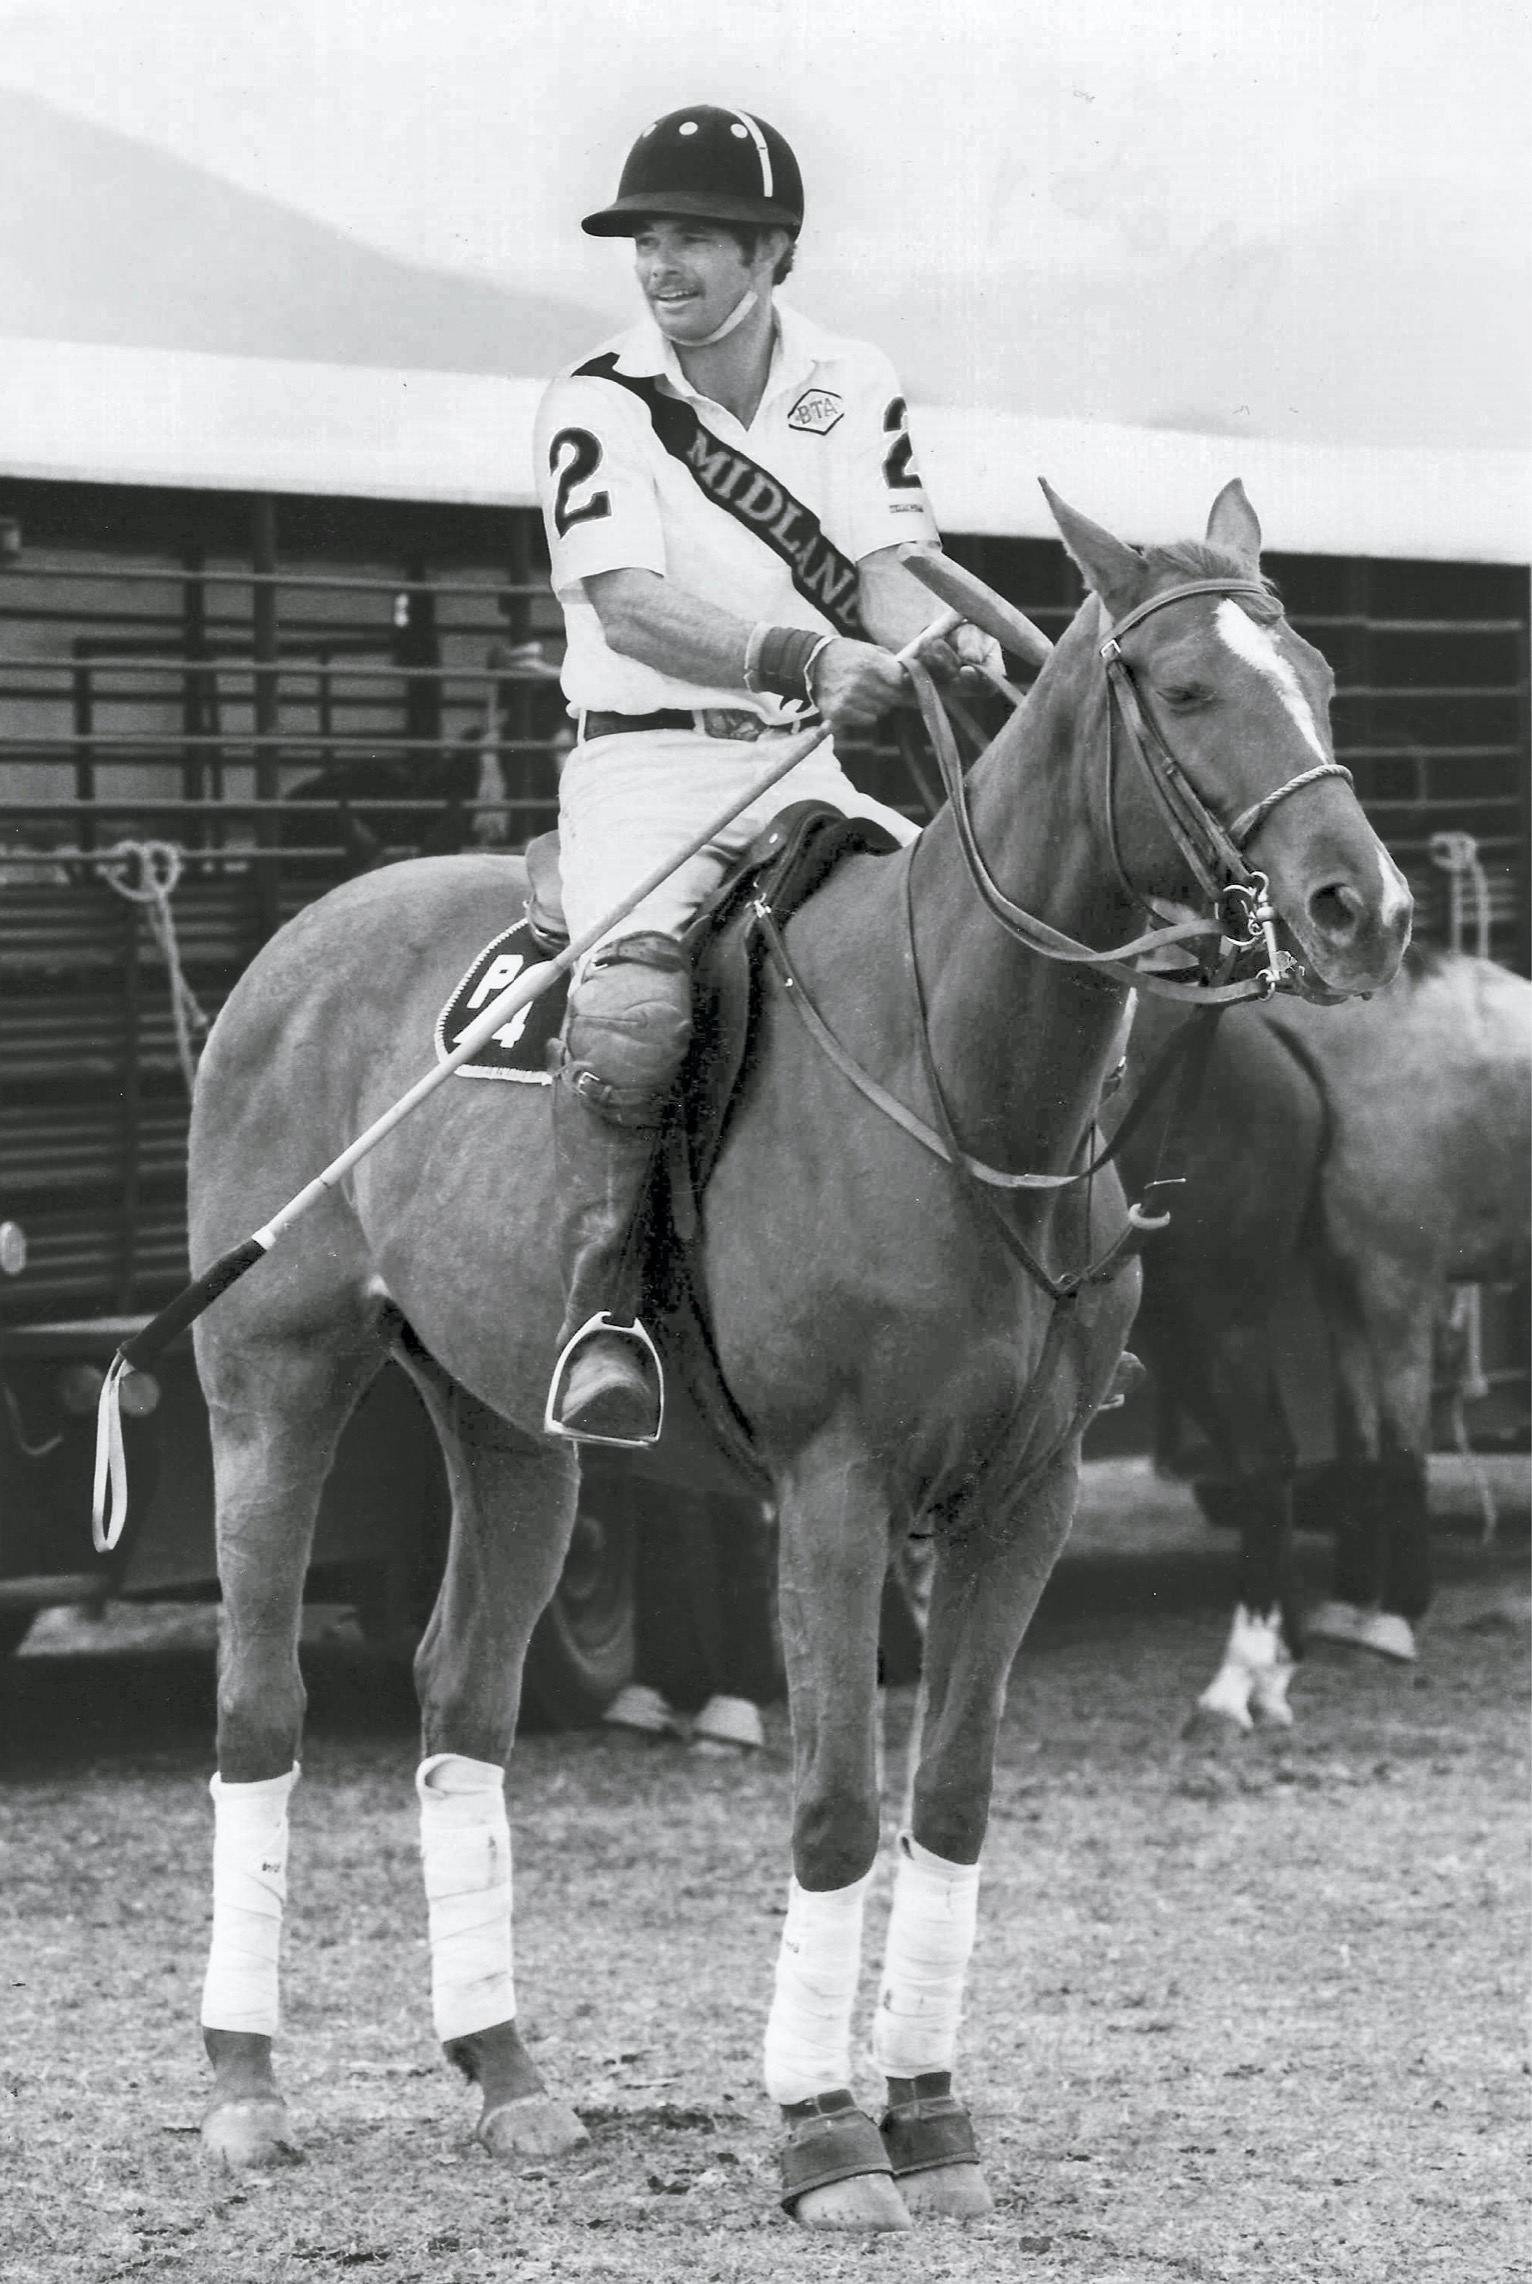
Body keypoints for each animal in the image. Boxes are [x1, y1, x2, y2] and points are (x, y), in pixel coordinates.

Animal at [182, 486, 1415, 2229]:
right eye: (1184, 692)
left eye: (1317, 676)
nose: (1359, 909)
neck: (969, 1073)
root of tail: (299, 935)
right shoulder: (836, 1486)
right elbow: (835, 1803)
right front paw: (827, 2135)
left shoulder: (1023, 1497)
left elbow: (950, 1798)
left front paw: (934, 2120)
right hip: (272, 1376)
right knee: (259, 1705)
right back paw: (243, 2090)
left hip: (509, 1427)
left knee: (462, 1698)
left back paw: (507, 2076)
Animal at [1118, 936, 1525, 1717]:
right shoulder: (1342, 1285)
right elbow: (1358, 1436)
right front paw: (1350, 1601)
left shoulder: (1398, 1282)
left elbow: (1402, 1446)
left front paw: (1397, 1613)